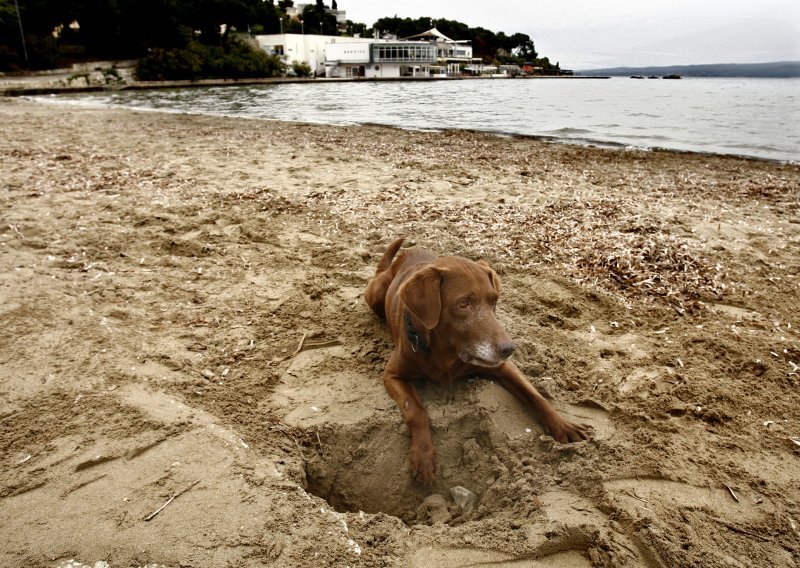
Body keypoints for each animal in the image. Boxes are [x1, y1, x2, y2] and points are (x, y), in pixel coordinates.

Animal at [364, 236, 588, 484]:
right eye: (464, 303)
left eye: (494, 301)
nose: (509, 349)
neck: (446, 355)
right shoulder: (392, 375)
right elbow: (416, 410)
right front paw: (423, 456)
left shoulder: (504, 367)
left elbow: (535, 395)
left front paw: (563, 425)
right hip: (374, 295)